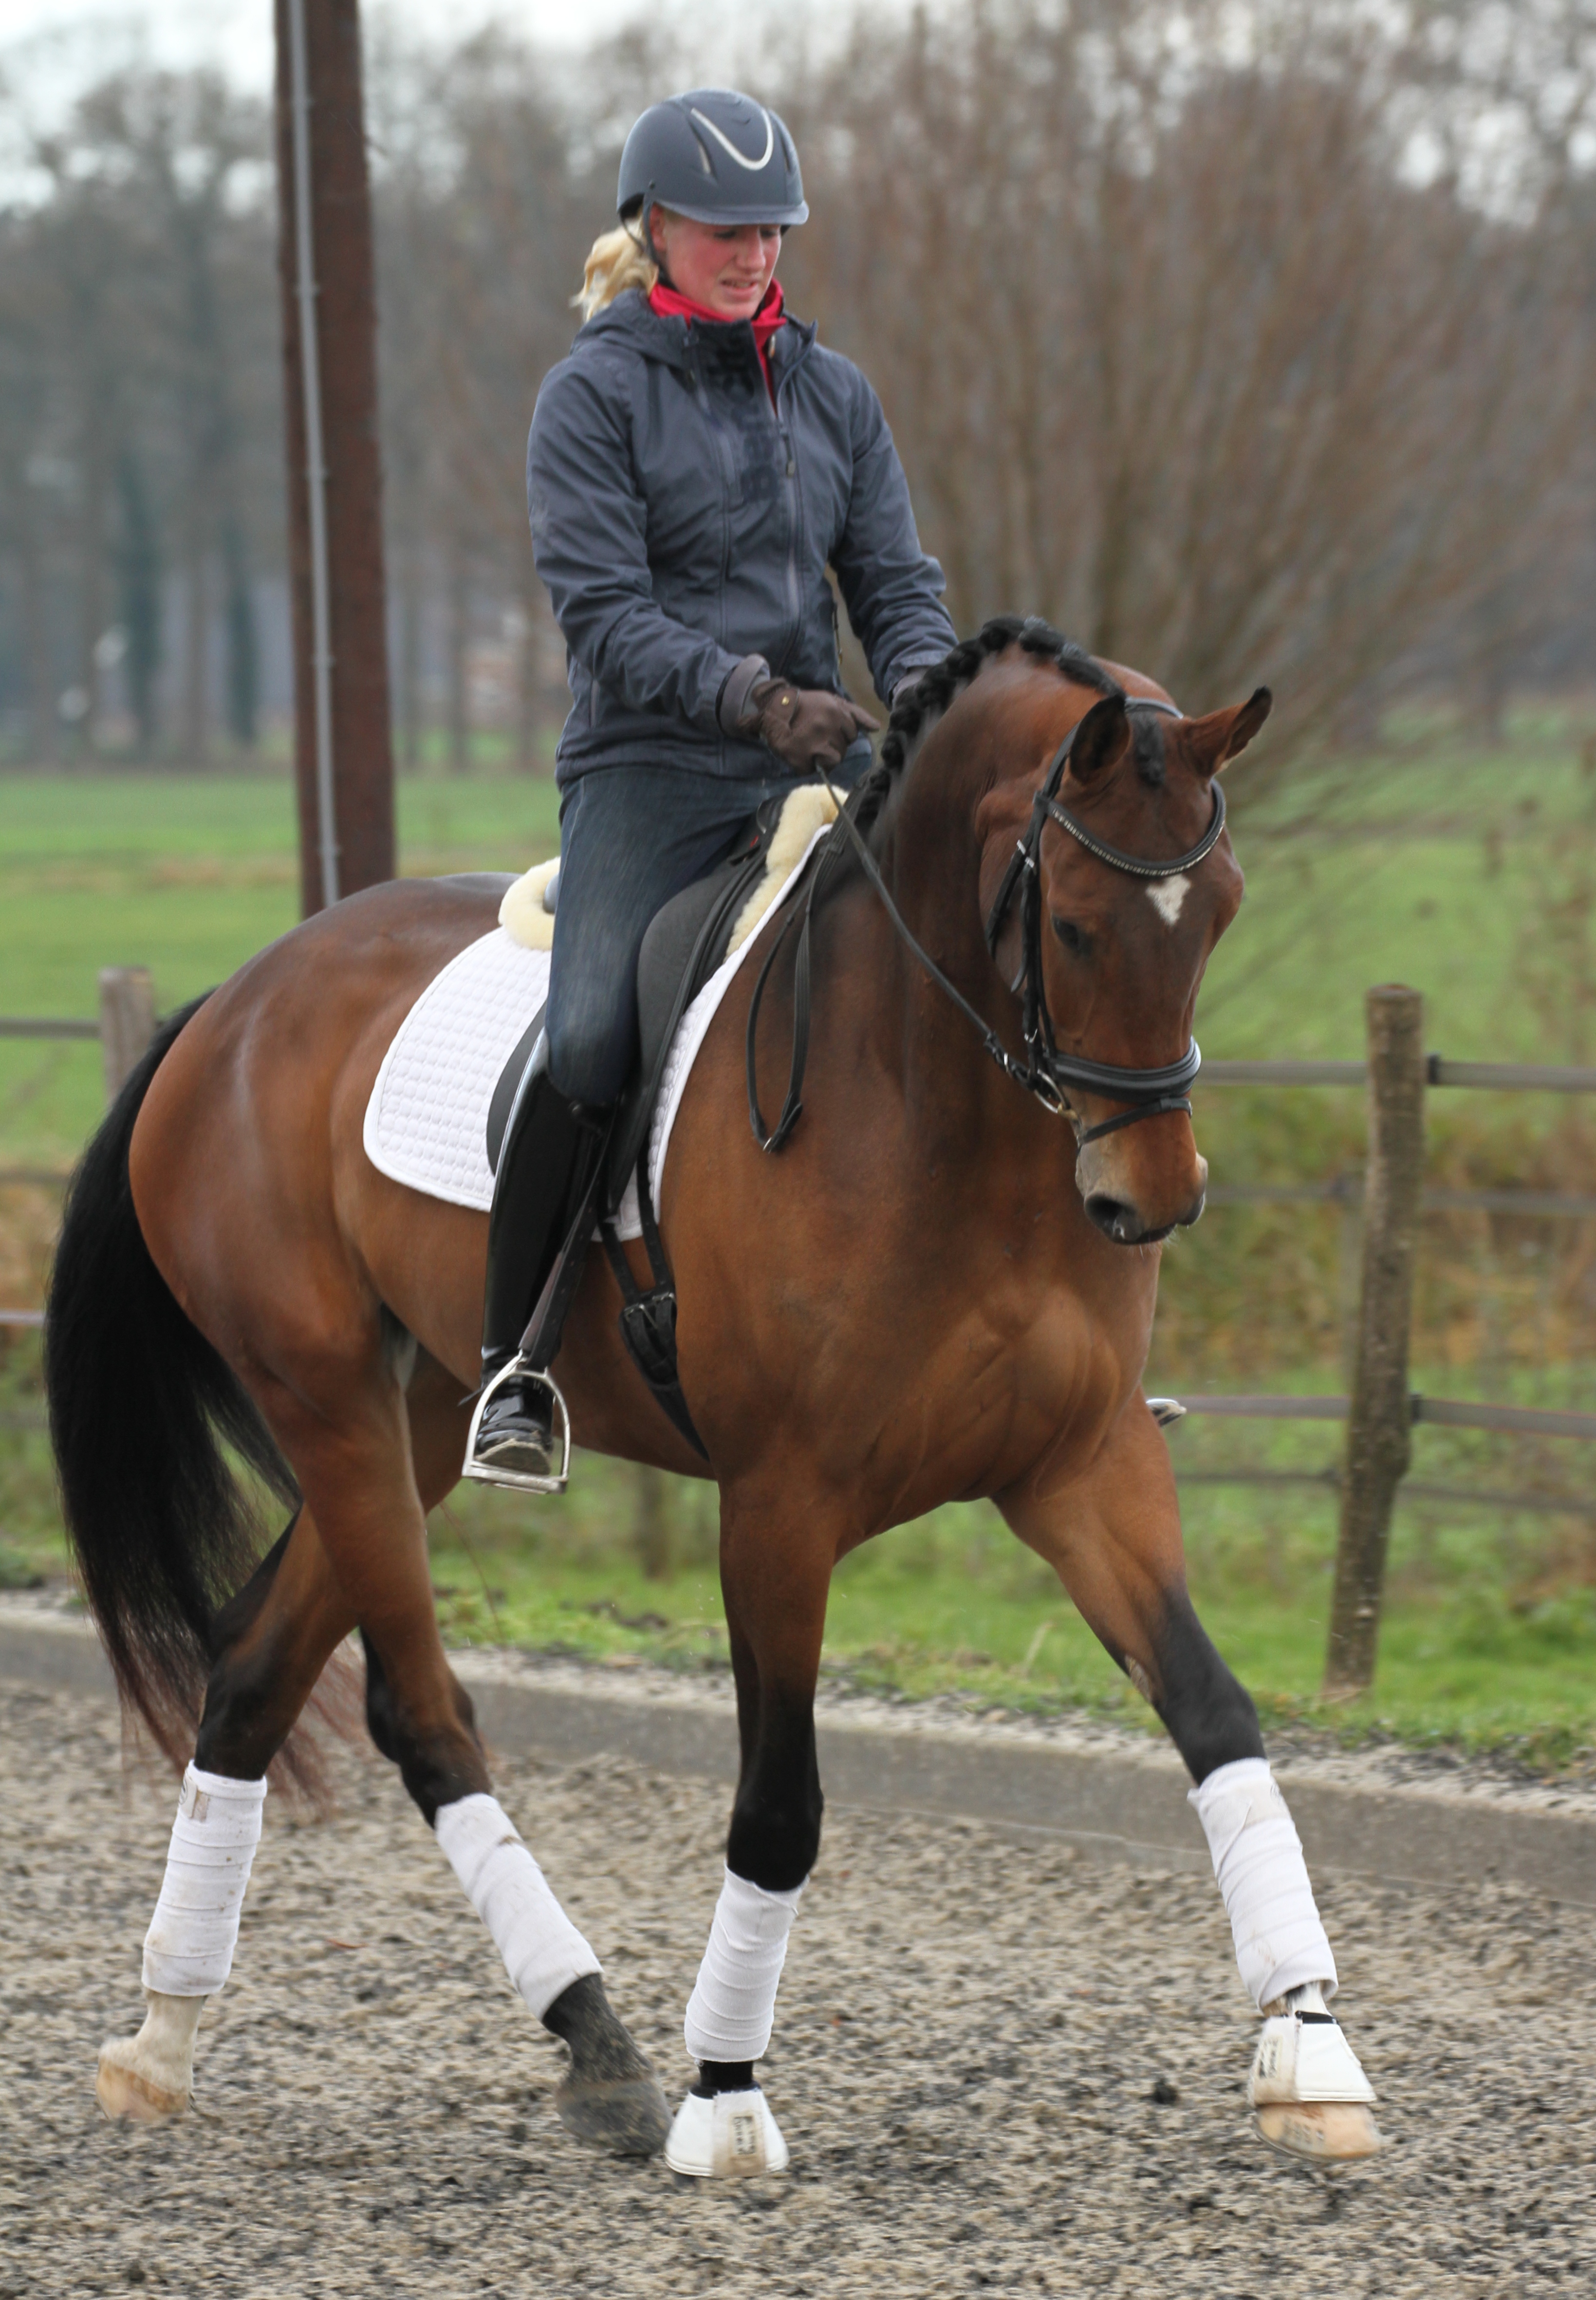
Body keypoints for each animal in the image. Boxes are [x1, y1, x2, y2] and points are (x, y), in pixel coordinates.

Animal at [43, 616, 1380, 2171]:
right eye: (1077, 927)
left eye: (1215, 911)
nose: (1147, 1198)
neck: (938, 1107)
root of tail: (235, 1001)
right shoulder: (782, 1505)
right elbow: (781, 1802)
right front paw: (725, 2094)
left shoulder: (1083, 1465)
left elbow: (1216, 1717)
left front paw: (1310, 2041)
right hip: (326, 1401)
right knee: (417, 1707)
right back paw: (595, 2037)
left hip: (409, 1417)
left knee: (259, 1670)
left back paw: (171, 2031)